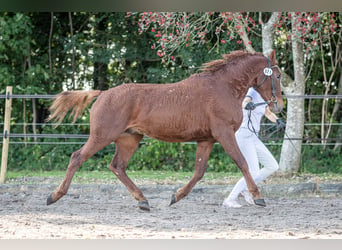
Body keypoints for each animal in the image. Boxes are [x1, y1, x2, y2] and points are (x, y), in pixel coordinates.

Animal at [47, 49, 284, 210]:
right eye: (279, 75)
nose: (279, 106)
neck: (222, 87)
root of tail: (103, 93)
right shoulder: (224, 133)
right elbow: (242, 163)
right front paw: (258, 197)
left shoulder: (206, 139)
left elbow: (199, 172)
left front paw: (175, 197)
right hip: (102, 136)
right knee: (77, 157)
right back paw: (54, 195)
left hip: (129, 139)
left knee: (117, 166)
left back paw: (143, 201)